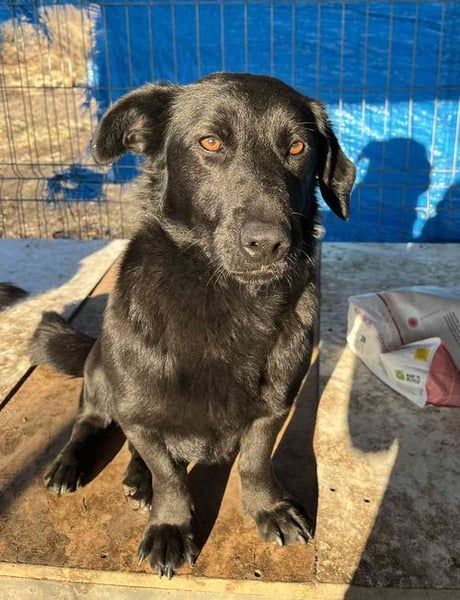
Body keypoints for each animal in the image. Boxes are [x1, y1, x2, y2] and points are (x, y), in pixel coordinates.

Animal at [30, 73, 355, 578]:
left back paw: (135, 478)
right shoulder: (139, 411)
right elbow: (169, 476)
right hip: (101, 371)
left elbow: (255, 462)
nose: (269, 243)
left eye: (298, 147)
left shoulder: (272, 408)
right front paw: (169, 525)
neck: (226, 303)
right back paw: (73, 464)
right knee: (91, 420)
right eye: (210, 142)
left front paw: (269, 508)